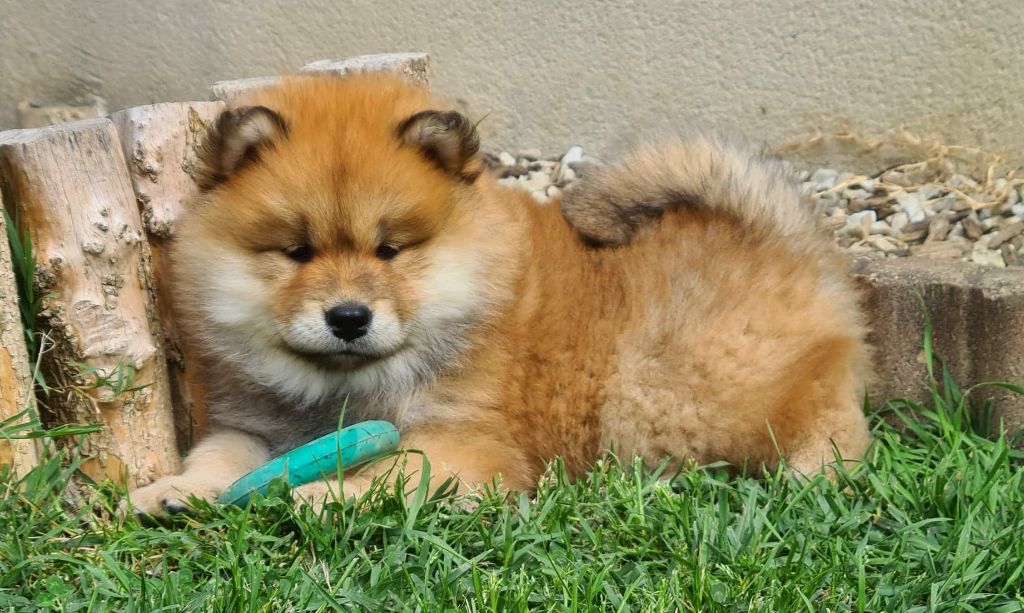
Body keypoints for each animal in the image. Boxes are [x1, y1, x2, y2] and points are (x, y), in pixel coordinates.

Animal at [127, 73, 872, 515]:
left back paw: (806, 477)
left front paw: (323, 494)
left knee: (829, 423)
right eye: (297, 252)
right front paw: (174, 491)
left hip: (672, 389)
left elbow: (396, 471)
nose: (348, 316)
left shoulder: (469, 441)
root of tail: (781, 237)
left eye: (390, 250)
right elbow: (220, 454)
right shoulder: (256, 422)